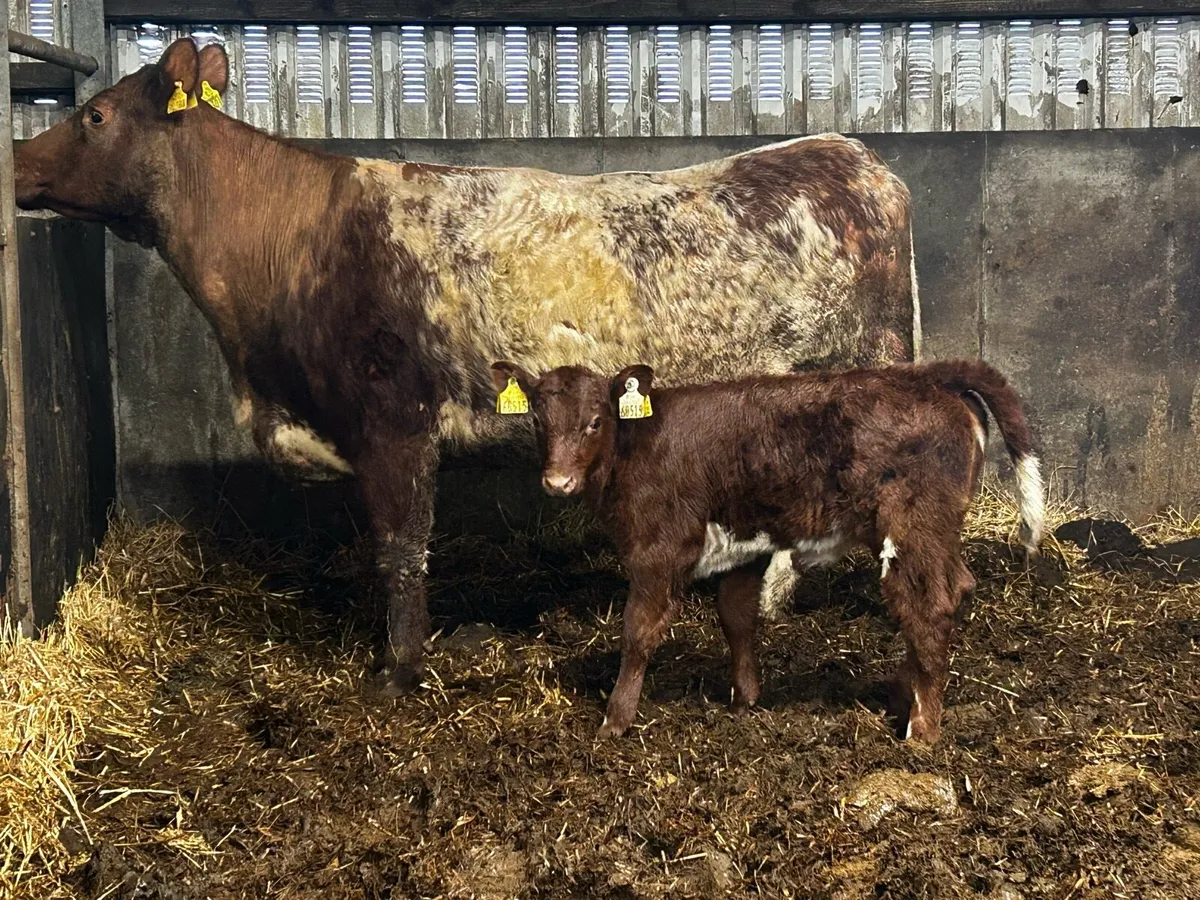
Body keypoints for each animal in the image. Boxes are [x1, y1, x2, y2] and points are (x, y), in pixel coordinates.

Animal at [14, 37, 919, 697]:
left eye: (93, 115)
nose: (17, 159)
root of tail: (856, 157)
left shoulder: (394, 419)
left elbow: (402, 549)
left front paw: (399, 671)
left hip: (859, 364)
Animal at [489, 358, 1043, 742]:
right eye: (538, 419)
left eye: (595, 421)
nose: (557, 482)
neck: (631, 450)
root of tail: (927, 376)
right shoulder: (743, 547)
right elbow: (737, 618)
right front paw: (745, 700)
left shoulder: (657, 550)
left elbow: (638, 633)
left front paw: (615, 722)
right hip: (934, 533)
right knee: (953, 589)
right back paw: (904, 692)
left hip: (913, 527)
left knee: (927, 607)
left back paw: (921, 732)